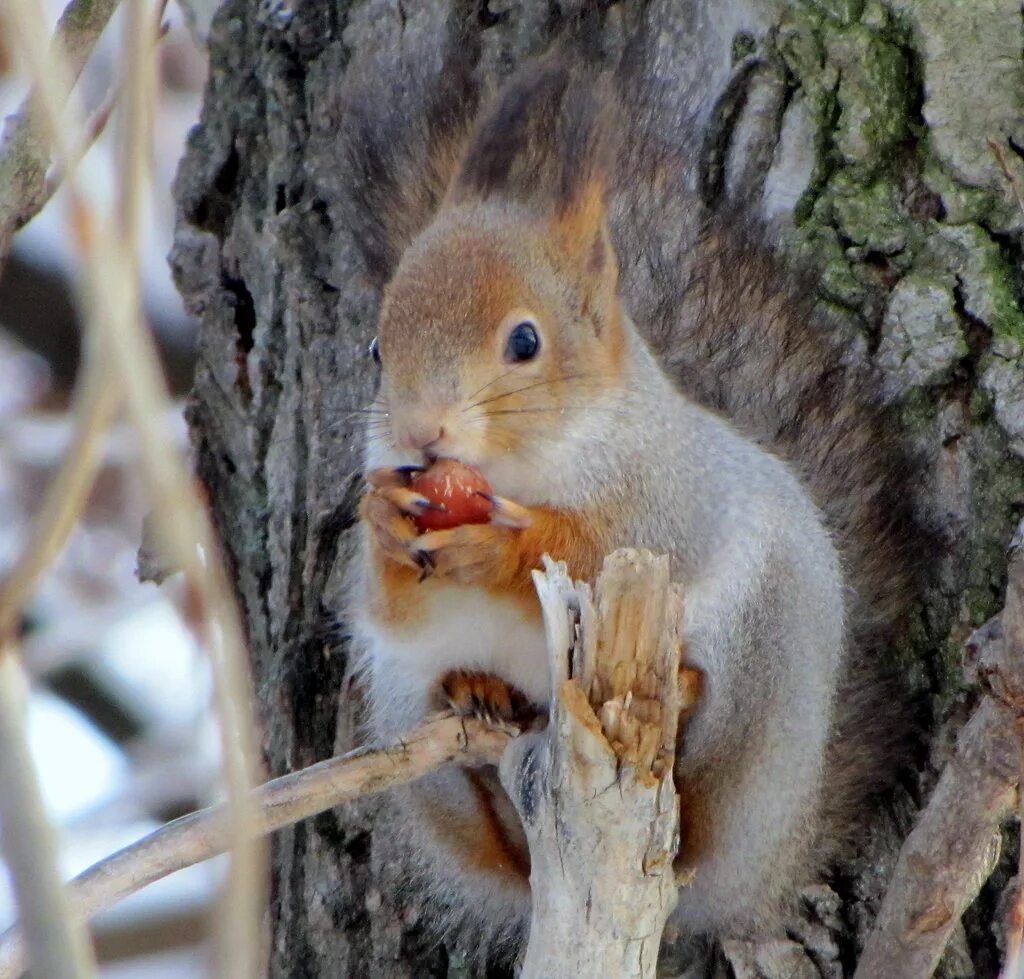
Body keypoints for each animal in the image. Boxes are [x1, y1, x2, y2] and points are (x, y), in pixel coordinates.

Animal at [342, 38, 921, 954]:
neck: (525, 467)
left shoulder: (673, 497)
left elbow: (600, 543)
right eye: (375, 347)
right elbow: (392, 605)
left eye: (525, 341)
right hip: (403, 713)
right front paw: (385, 525)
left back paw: (680, 696)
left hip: (765, 666)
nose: (419, 435)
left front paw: (501, 545)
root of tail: (759, 871)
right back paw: (476, 698)